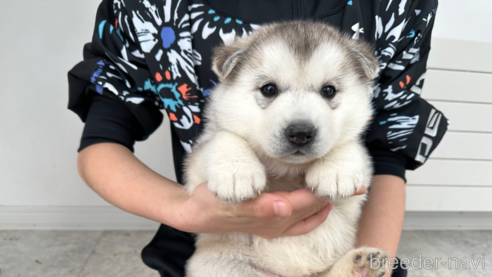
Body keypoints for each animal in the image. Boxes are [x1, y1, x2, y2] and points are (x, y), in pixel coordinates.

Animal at [184, 21, 388, 276]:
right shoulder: (197, 164)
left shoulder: (357, 186)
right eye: (269, 89)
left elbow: (352, 146)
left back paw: (360, 264)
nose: (300, 133)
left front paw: (336, 171)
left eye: (329, 91)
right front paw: (237, 172)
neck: (287, 169)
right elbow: (223, 138)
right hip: (217, 264)